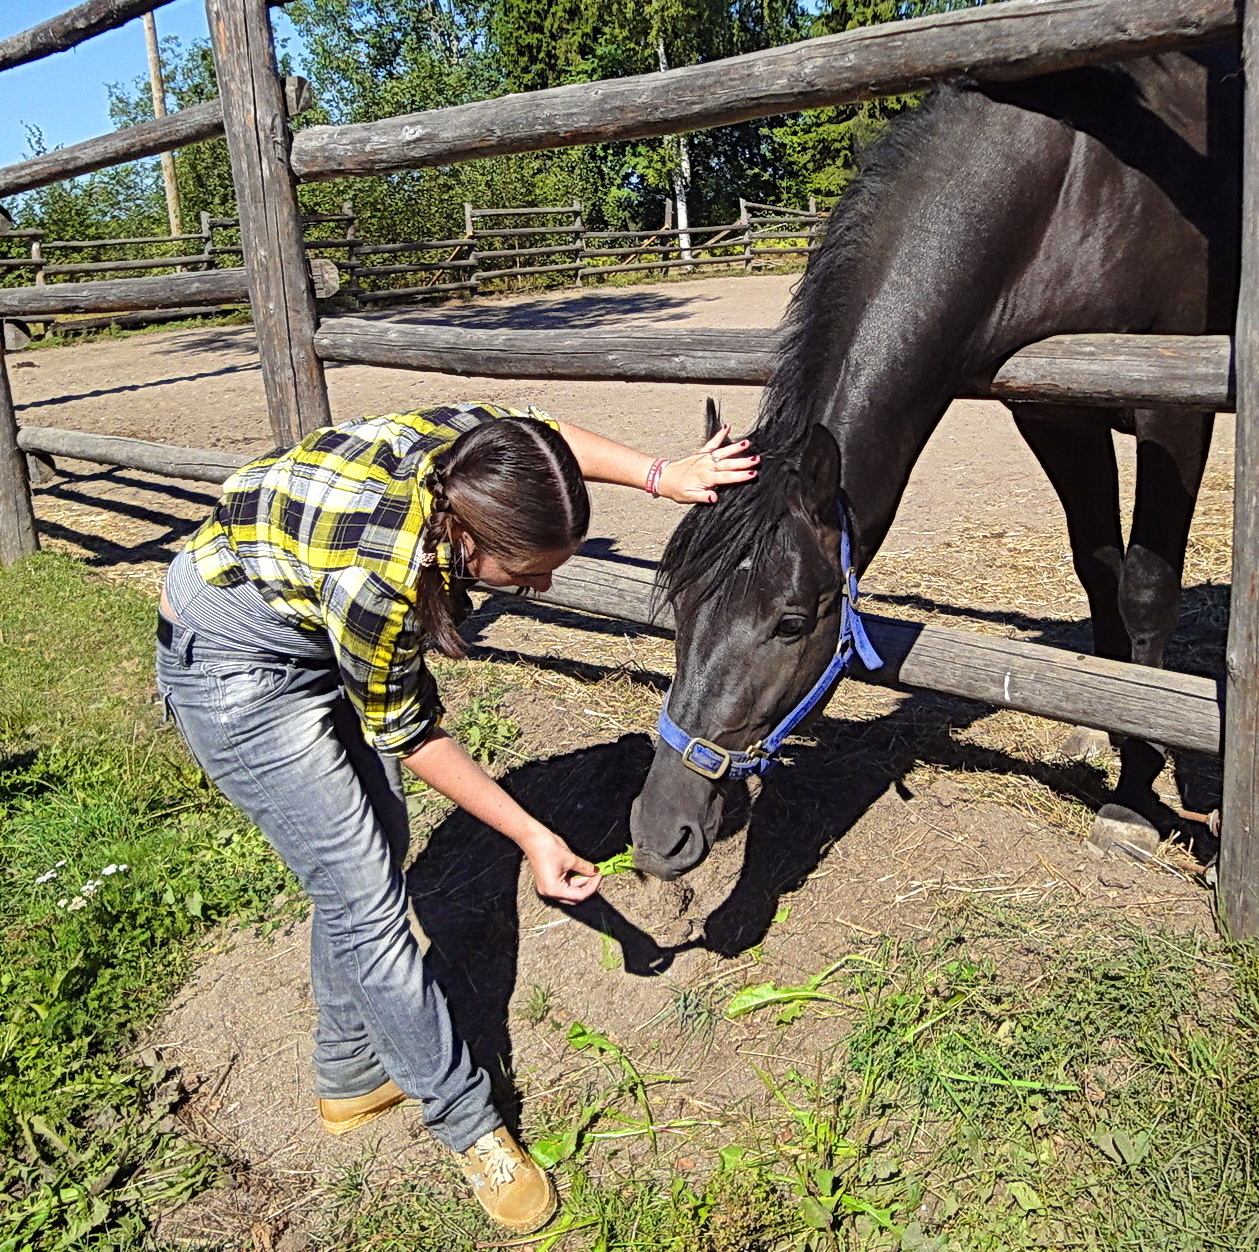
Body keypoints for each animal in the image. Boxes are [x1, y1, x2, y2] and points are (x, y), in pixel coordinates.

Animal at [629, 48, 1238, 876]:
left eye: (791, 623)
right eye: (682, 604)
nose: (659, 833)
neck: (1072, 186)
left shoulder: (1173, 409)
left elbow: (1145, 585)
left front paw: (1134, 791)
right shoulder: (1054, 414)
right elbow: (1097, 568)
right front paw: (1099, 721)